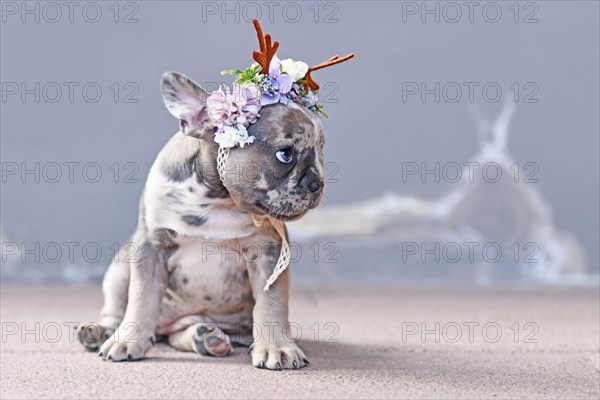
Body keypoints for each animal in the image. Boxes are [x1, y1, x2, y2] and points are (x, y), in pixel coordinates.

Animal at [77, 70, 326, 370]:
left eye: (321, 151)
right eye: (285, 155)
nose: (317, 183)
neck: (217, 200)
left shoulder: (269, 252)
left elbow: (272, 302)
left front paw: (277, 347)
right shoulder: (150, 247)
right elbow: (141, 297)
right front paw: (128, 340)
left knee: (178, 335)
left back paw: (206, 337)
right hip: (120, 268)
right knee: (116, 310)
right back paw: (101, 332)